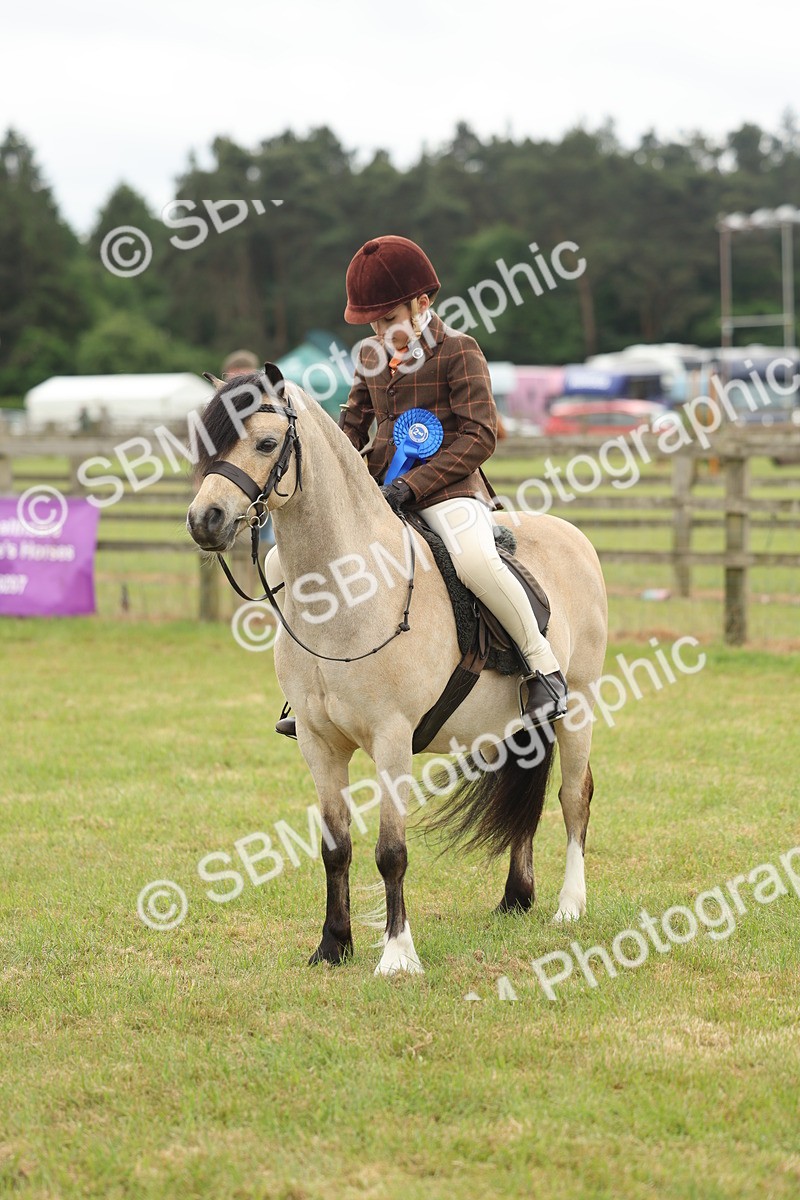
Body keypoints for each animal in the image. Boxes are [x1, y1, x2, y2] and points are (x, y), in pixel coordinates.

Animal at [187, 371, 608, 976]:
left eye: (266, 444)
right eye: (205, 446)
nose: (206, 521)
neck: (347, 590)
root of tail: (572, 537)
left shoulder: (392, 739)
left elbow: (391, 852)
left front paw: (398, 956)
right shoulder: (318, 742)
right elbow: (334, 847)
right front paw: (333, 946)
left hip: (580, 710)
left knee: (574, 797)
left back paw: (569, 907)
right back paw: (516, 897)